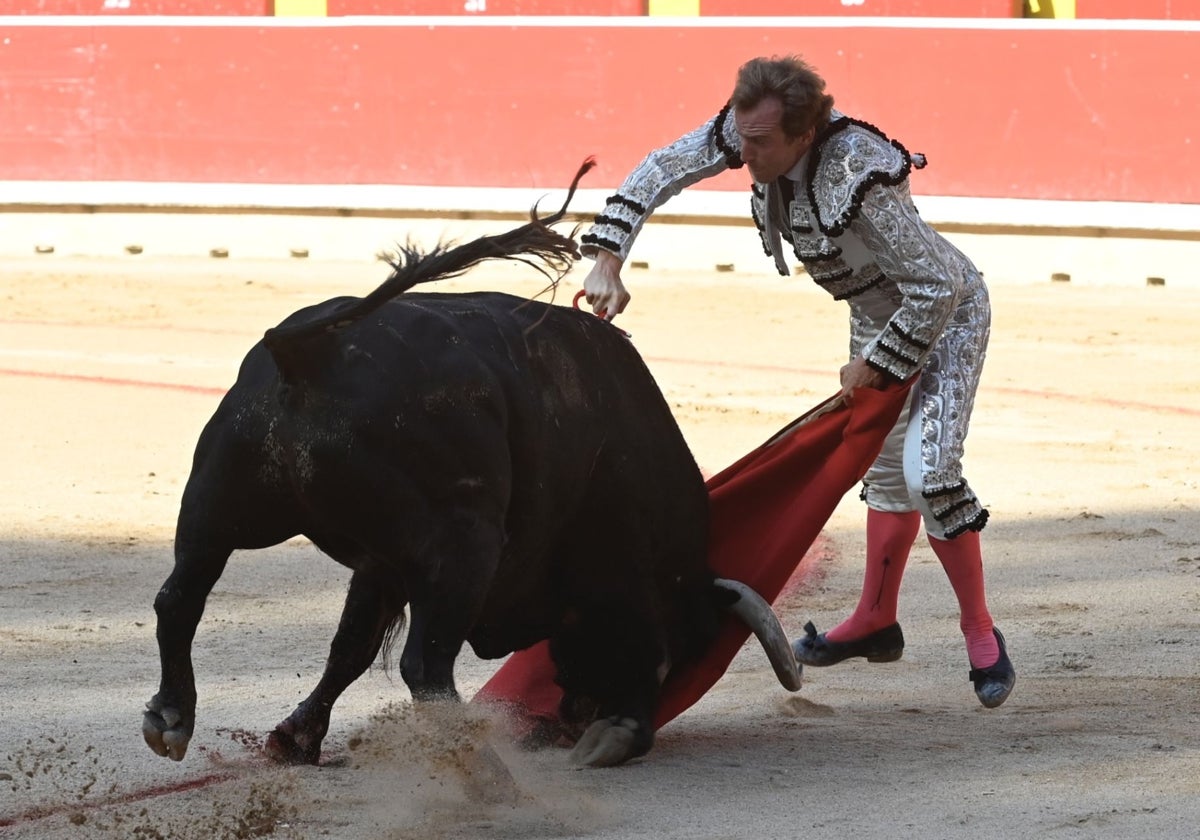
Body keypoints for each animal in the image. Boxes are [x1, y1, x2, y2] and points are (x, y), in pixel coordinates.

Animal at [145, 162, 801, 768]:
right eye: (679, 652)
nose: (577, 717)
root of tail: (310, 351)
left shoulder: (381, 564)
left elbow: (351, 646)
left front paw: (293, 738)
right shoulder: (617, 567)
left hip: (216, 503)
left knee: (179, 597)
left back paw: (171, 718)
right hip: (463, 545)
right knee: (428, 669)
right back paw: (482, 764)